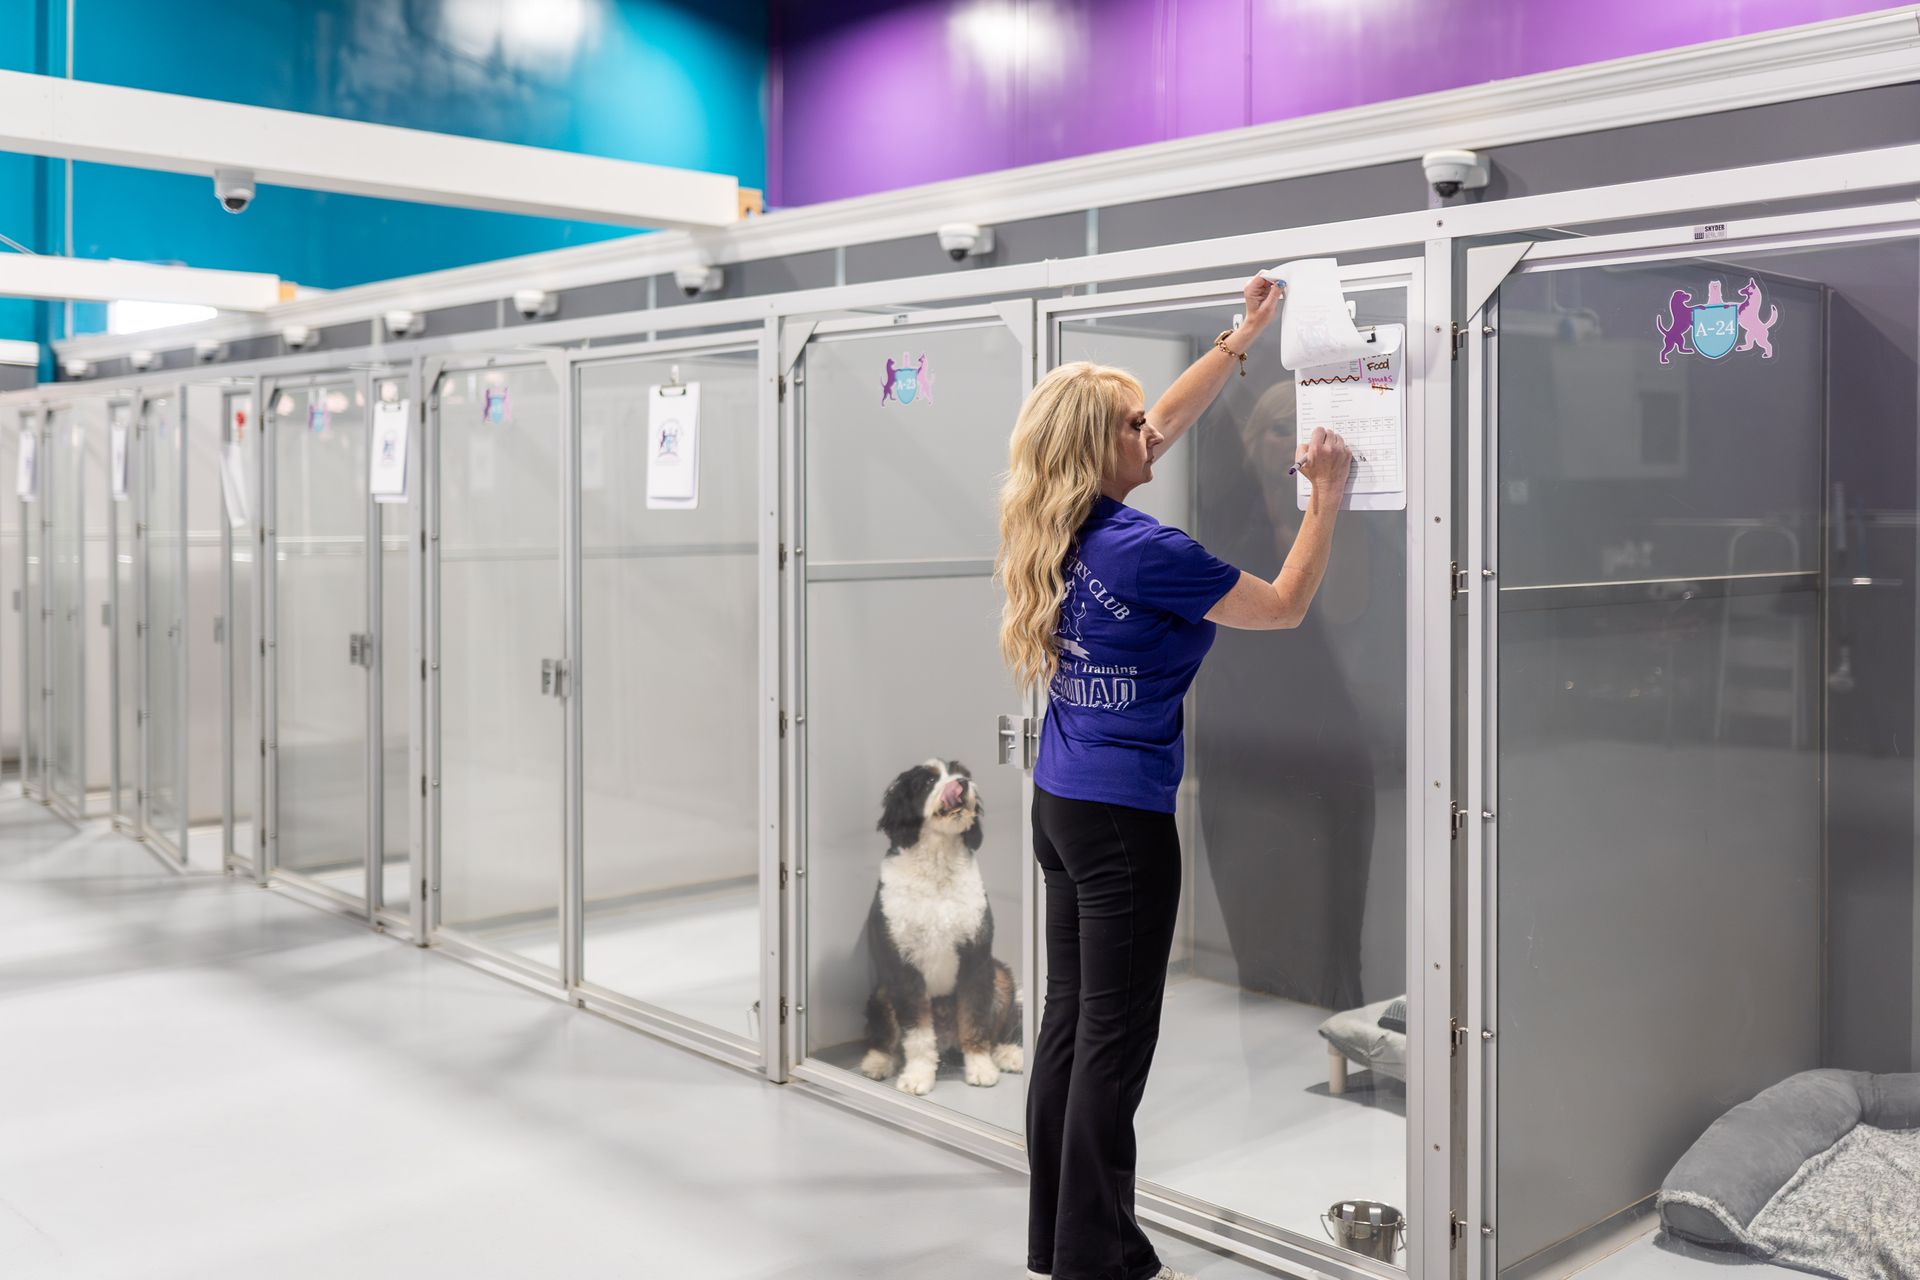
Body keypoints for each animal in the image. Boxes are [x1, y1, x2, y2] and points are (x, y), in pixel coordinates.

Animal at [864, 759, 1029, 1105]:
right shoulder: (903, 966)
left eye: (962, 773)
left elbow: (976, 1020)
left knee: (999, 1023)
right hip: (882, 991)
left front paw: (980, 1068)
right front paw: (917, 1076)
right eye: (928, 781)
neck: (937, 866)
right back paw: (878, 1061)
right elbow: (916, 1034)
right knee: (887, 1035)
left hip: (1000, 975)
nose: (962, 784)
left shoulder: (976, 957)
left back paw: (1008, 1053)